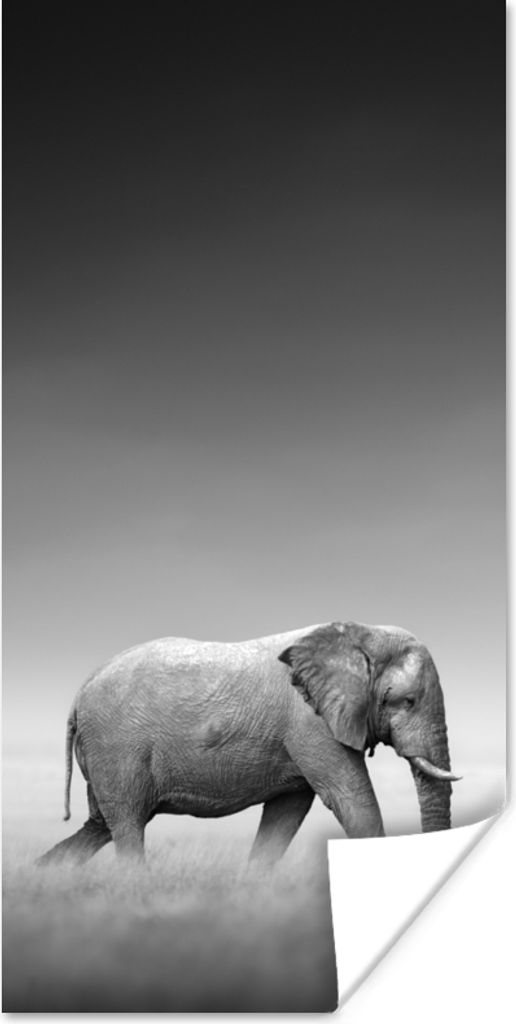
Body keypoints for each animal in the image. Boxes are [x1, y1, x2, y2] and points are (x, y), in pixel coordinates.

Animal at [38, 620, 460, 866]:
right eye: (406, 701)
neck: (359, 634)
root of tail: (79, 694)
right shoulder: (310, 723)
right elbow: (351, 799)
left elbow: (286, 814)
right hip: (117, 747)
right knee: (126, 825)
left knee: (99, 825)